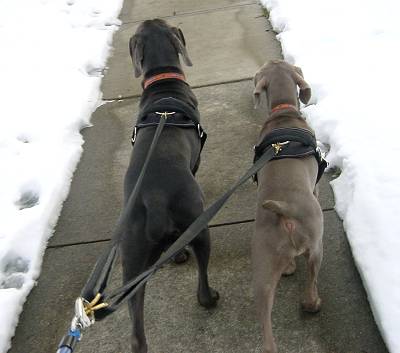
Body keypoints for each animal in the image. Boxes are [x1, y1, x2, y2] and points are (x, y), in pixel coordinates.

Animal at [122, 18, 219, 352]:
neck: (163, 83)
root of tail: (153, 198)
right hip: (198, 223)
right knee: (202, 284)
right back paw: (211, 298)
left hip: (131, 259)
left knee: (136, 330)